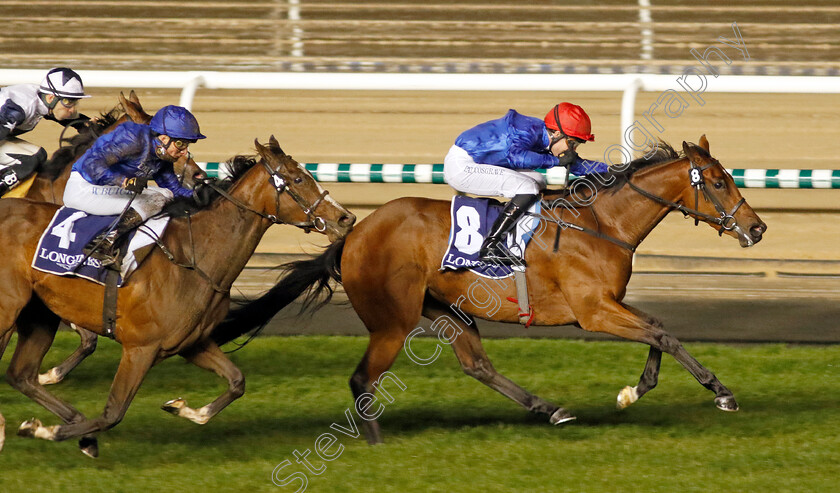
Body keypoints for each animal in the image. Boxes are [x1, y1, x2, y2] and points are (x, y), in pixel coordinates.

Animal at [212, 134, 768, 442]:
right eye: (719, 182)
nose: (758, 228)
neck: (601, 223)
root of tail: (354, 232)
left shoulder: (610, 304)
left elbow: (657, 329)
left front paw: (635, 390)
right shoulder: (594, 311)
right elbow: (663, 334)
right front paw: (721, 393)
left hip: (445, 309)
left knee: (477, 365)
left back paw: (551, 409)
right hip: (393, 320)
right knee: (362, 377)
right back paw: (373, 442)